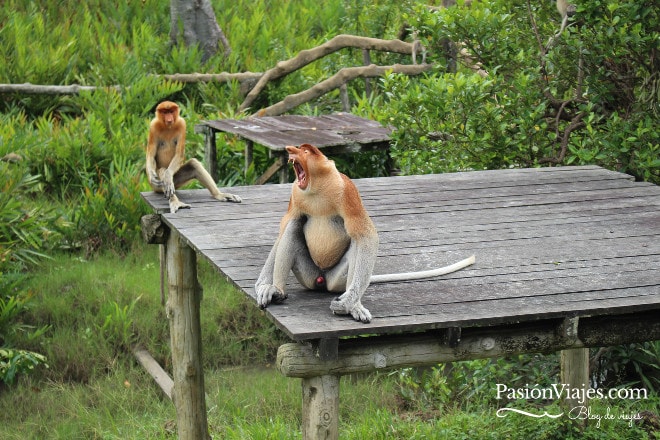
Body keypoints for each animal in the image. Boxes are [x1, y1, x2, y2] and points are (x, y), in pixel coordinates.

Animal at [253, 144, 474, 324]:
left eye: (305, 151)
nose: (290, 150)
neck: (317, 188)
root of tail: (322, 281)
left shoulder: (346, 190)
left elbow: (366, 236)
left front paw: (348, 303)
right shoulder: (295, 195)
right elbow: (285, 227)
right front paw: (263, 286)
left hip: (337, 280)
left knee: (356, 244)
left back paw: (353, 306)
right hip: (307, 275)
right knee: (293, 226)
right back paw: (277, 291)